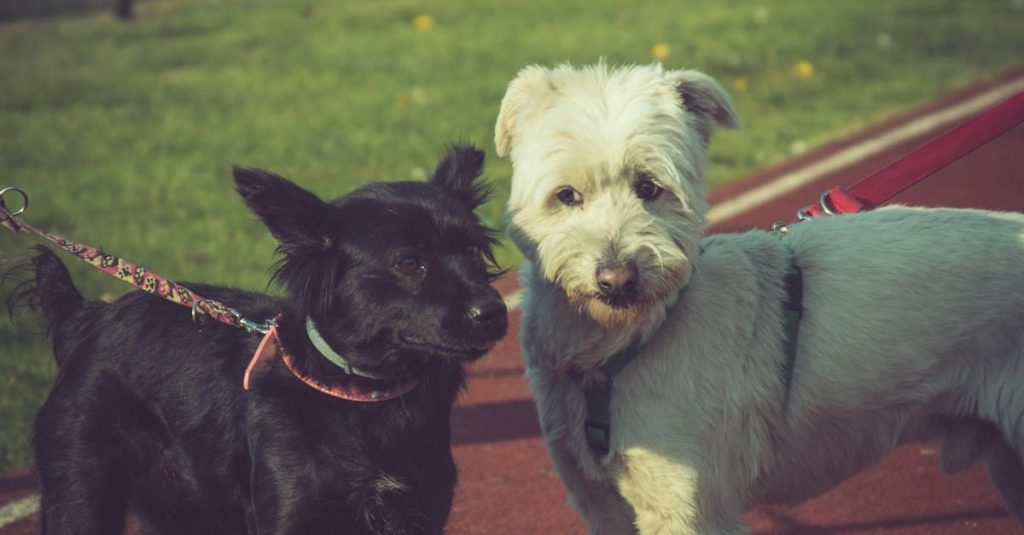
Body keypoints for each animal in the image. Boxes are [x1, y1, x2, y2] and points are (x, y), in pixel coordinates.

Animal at [8, 143, 503, 528]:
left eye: (475, 252)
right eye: (408, 262)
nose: (494, 312)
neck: (365, 397)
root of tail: (85, 316)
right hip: (80, 494)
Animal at [495, 60, 1024, 528]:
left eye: (649, 187)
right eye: (566, 196)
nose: (617, 278)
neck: (621, 347)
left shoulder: (690, 509)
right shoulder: (601, 503)